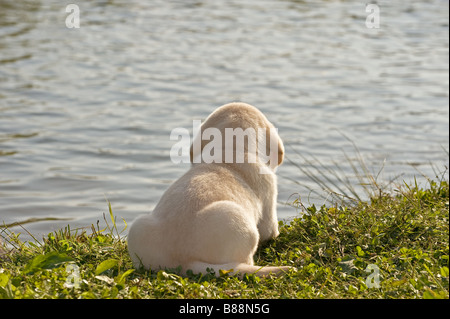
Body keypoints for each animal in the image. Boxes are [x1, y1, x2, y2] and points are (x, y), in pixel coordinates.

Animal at [128, 102, 294, 278]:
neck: (231, 150)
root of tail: (182, 262)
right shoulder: (269, 195)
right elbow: (270, 231)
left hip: (138, 226)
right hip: (238, 220)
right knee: (245, 261)